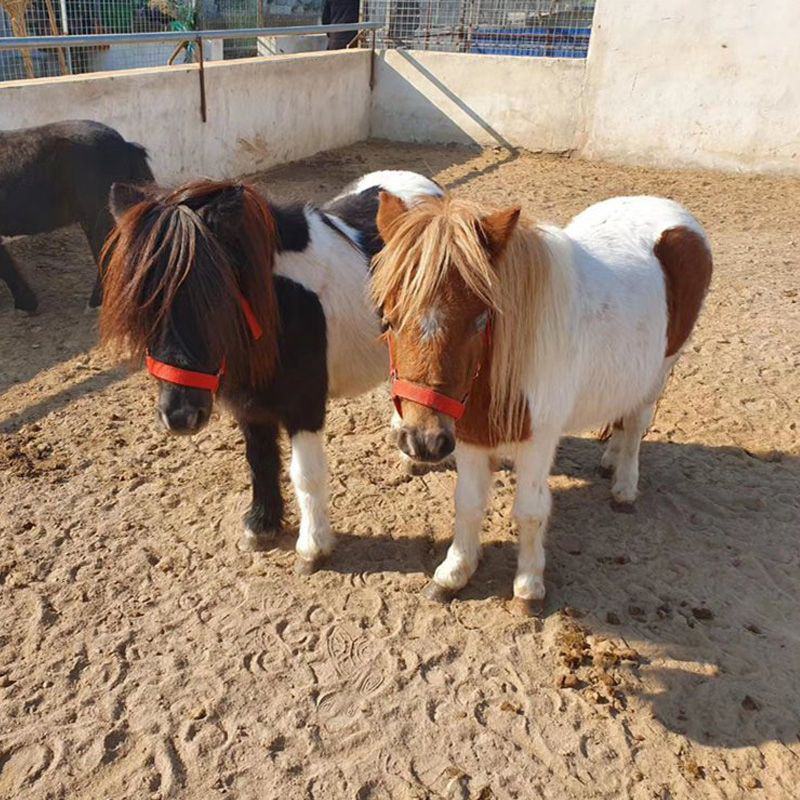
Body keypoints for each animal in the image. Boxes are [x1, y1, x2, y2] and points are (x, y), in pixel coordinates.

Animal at [100, 171, 441, 571]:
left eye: (217, 298)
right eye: (142, 304)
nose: (180, 417)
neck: (281, 305)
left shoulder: (304, 406)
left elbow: (305, 474)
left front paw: (312, 548)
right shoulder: (249, 405)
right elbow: (260, 461)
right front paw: (261, 526)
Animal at [371, 193, 713, 613]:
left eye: (480, 320)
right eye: (387, 319)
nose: (422, 441)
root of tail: (671, 211)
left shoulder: (538, 440)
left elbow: (531, 511)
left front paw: (528, 584)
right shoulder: (469, 437)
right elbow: (467, 503)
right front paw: (454, 573)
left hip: (662, 368)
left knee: (635, 424)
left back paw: (624, 486)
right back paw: (610, 459)